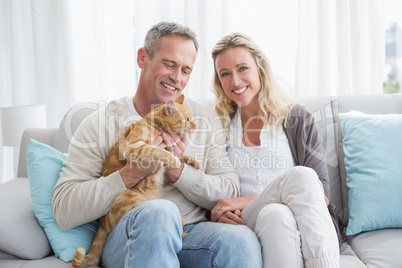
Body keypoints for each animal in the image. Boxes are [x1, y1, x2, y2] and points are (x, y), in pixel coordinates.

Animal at [72, 95, 199, 266]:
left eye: (192, 118)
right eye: (186, 119)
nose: (196, 125)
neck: (154, 124)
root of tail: (102, 223)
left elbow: (181, 155)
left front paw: (193, 161)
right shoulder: (135, 147)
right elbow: (158, 151)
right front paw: (173, 160)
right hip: (132, 199)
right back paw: (181, 220)